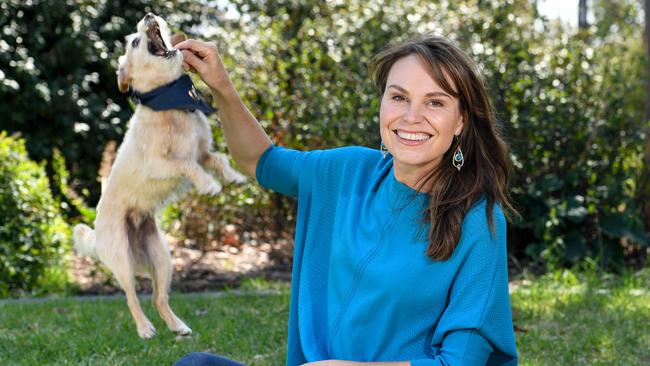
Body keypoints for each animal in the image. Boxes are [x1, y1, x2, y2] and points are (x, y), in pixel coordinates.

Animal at [73, 13, 246, 340]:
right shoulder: (159, 164)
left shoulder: (202, 150)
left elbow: (216, 158)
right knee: (131, 298)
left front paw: (234, 176)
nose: (149, 15)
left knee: (157, 297)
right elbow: (187, 166)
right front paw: (209, 184)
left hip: (163, 259)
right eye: (135, 42)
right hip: (123, 259)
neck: (172, 102)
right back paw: (145, 329)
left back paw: (178, 326)